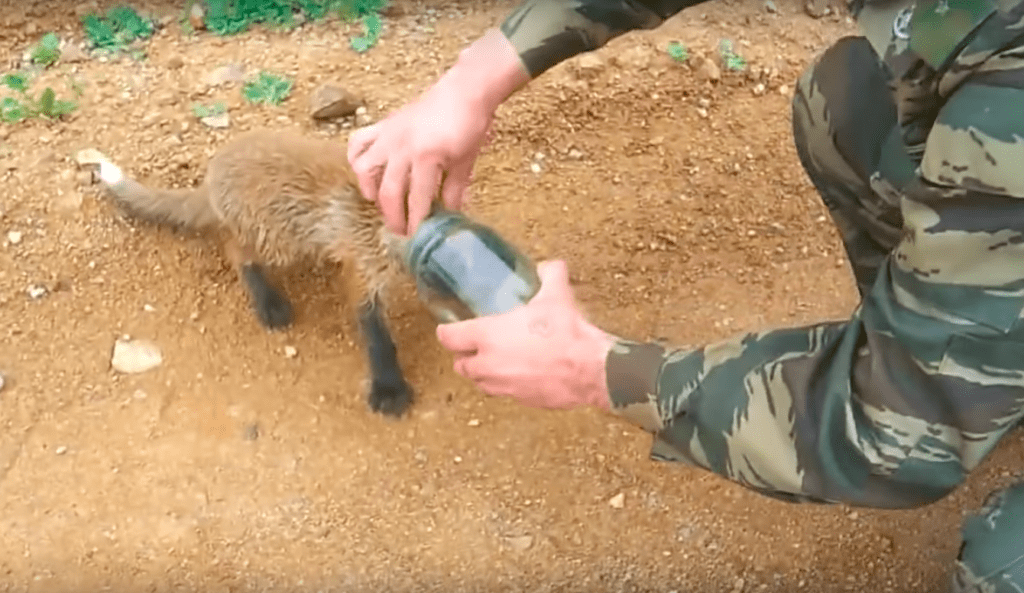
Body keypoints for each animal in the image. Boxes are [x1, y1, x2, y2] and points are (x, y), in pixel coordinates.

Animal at [95, 127, 417, 418]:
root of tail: (213, 172)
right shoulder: (364, 266)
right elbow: (377, 337)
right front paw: (389, 388)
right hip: (279, 241)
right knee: (236, 250)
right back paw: (268, 302)